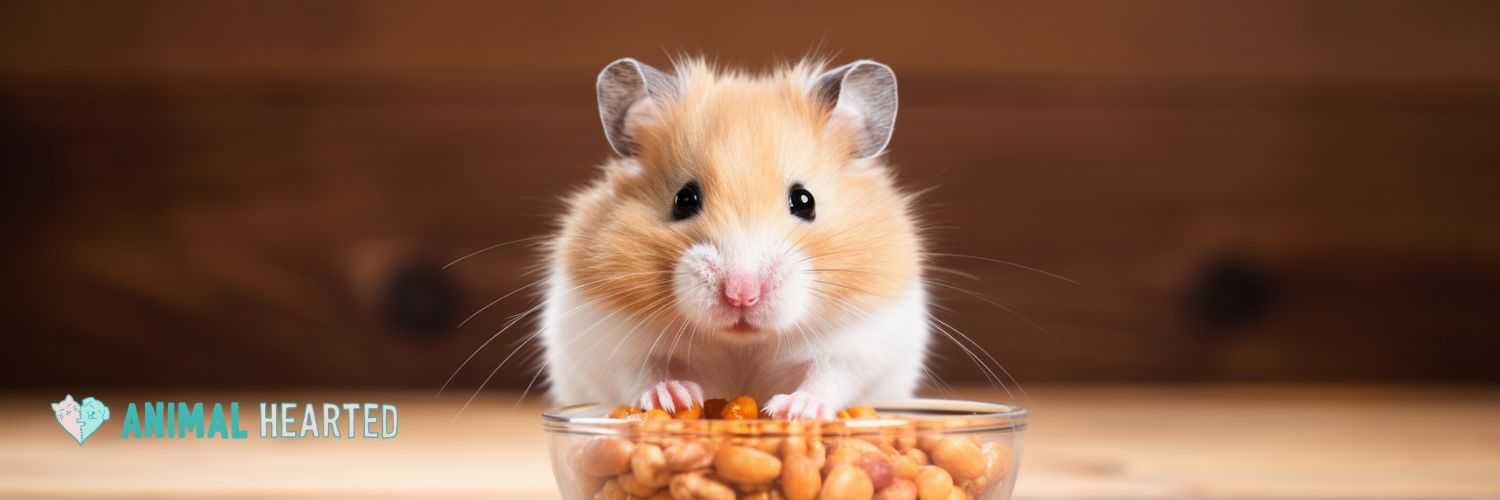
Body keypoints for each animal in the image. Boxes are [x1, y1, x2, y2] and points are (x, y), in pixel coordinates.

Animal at [540, 56, 924, 417]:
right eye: (684, 200)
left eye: (805, 201)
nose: (742, 295)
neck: (742, 342)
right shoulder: (608, 339)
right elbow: (645, 371)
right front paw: (675, 398)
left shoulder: (861, 340)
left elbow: (827, 375)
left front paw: (795, 410)